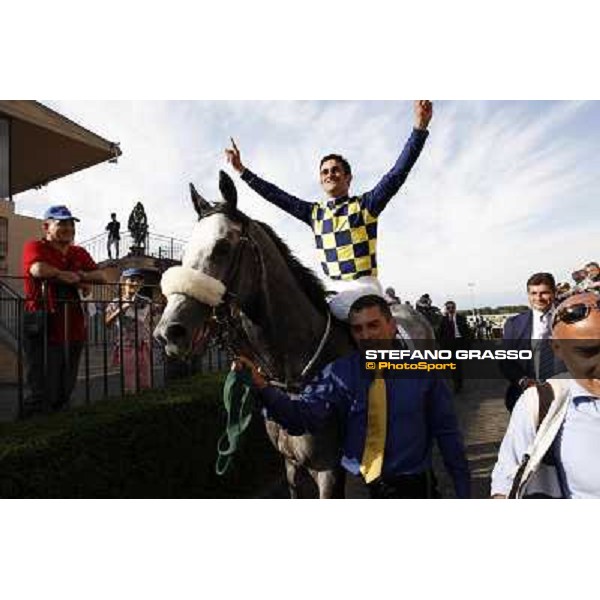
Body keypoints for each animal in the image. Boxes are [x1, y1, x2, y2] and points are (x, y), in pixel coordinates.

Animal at [155, 171, 434, 500]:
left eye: (222, 246)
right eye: (184, 252)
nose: (169, 331)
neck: (294, 374)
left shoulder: (329, 470)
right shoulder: (290, 465)